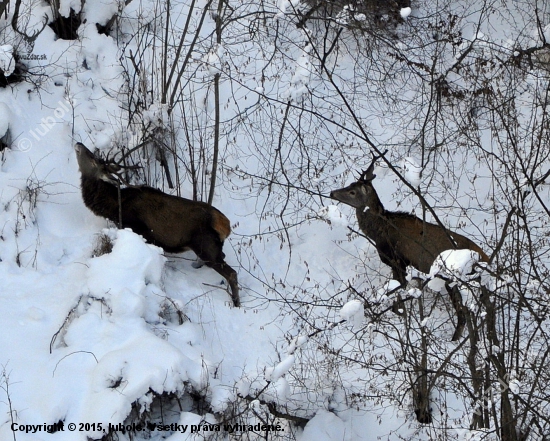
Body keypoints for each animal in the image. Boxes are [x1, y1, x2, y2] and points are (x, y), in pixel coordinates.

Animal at [76, 143, 242, 308]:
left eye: (95, 160)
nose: (79, 144)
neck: (115, 207)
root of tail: (225, 224)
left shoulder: (141, 232)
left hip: (206, 246)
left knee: (232, 273)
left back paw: (236, 303)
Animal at [330, 152, 490, 340]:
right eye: (349, 185)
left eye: (352, 191)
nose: (332, 192)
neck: (379, 231)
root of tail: (485, 257)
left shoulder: (397, 260)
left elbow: (397, 290)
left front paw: (399, 311)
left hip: (455, 277)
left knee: (464, 311)